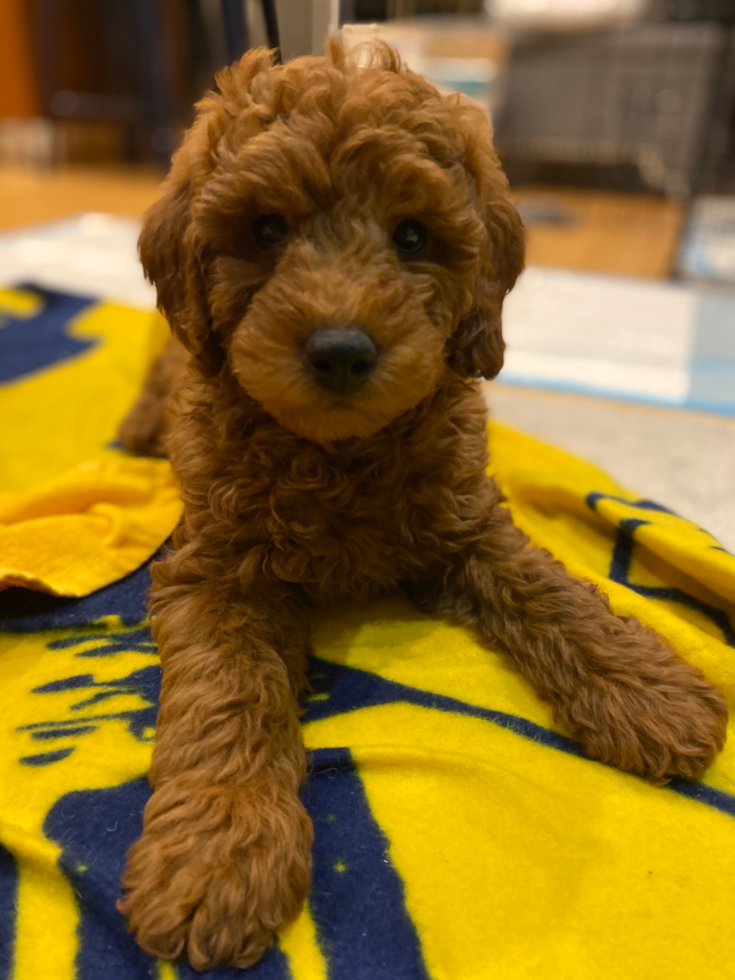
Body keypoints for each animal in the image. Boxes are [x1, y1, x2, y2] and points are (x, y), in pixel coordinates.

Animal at [118, 40, 728, 972]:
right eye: (266, 230)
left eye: (412, 236)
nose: (340, 350)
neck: (337, 451)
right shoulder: (213, 569)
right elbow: (227, 691)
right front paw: (220, 850)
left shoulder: (468, 524)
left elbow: (548, 590)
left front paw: (644, 686)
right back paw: (140, 431)